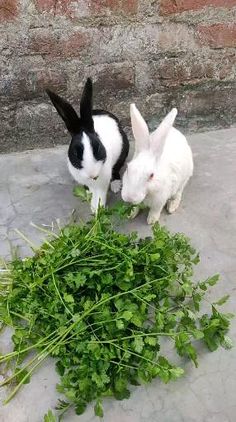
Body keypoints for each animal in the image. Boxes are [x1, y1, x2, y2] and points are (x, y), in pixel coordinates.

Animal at [45, 77, 129, 211]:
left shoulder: (103, 181)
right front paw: (92, 200)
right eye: (75, 152)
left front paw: (98, 210)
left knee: (116, 169)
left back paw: (116, 186)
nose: (92, 174)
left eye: (98, 147)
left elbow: (100, 195)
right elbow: (91, 190)